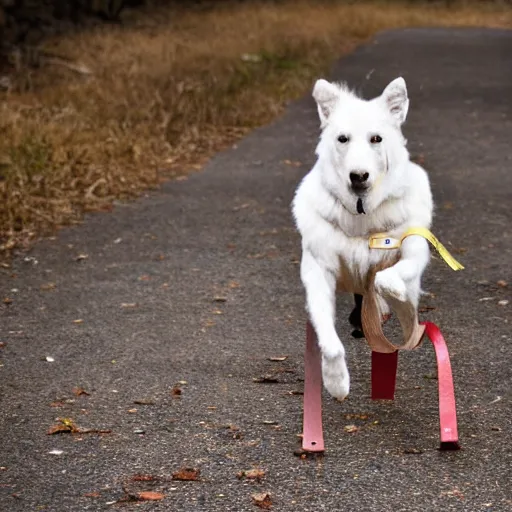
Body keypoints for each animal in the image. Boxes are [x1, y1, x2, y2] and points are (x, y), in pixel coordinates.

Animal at [292, 78, 432, 402]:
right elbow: (329, 342)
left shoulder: (414, 251)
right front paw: (336, 382)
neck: (360, 214)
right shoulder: (317, 273)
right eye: (343, 139)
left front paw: (389, 289)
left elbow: (389, 275)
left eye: (376, 139)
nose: (358, 176)